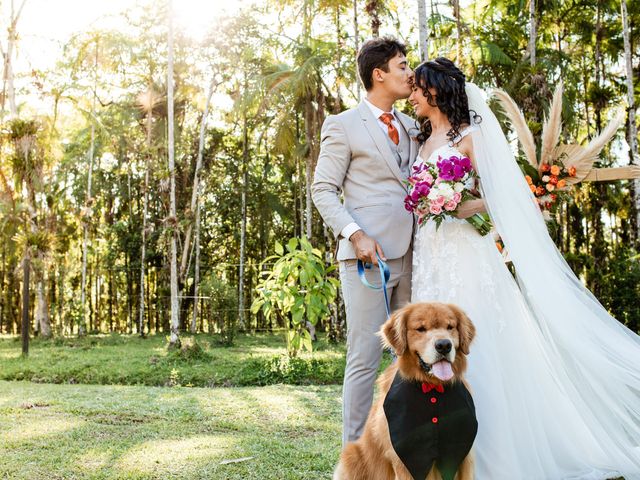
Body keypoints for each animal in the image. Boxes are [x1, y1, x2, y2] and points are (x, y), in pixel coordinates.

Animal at [336, 304, 476, 480]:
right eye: (421, 329)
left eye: (450, 327)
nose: (444, 345)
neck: (432, 387)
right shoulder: (406, 458)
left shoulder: (463, 453)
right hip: (352, 454)